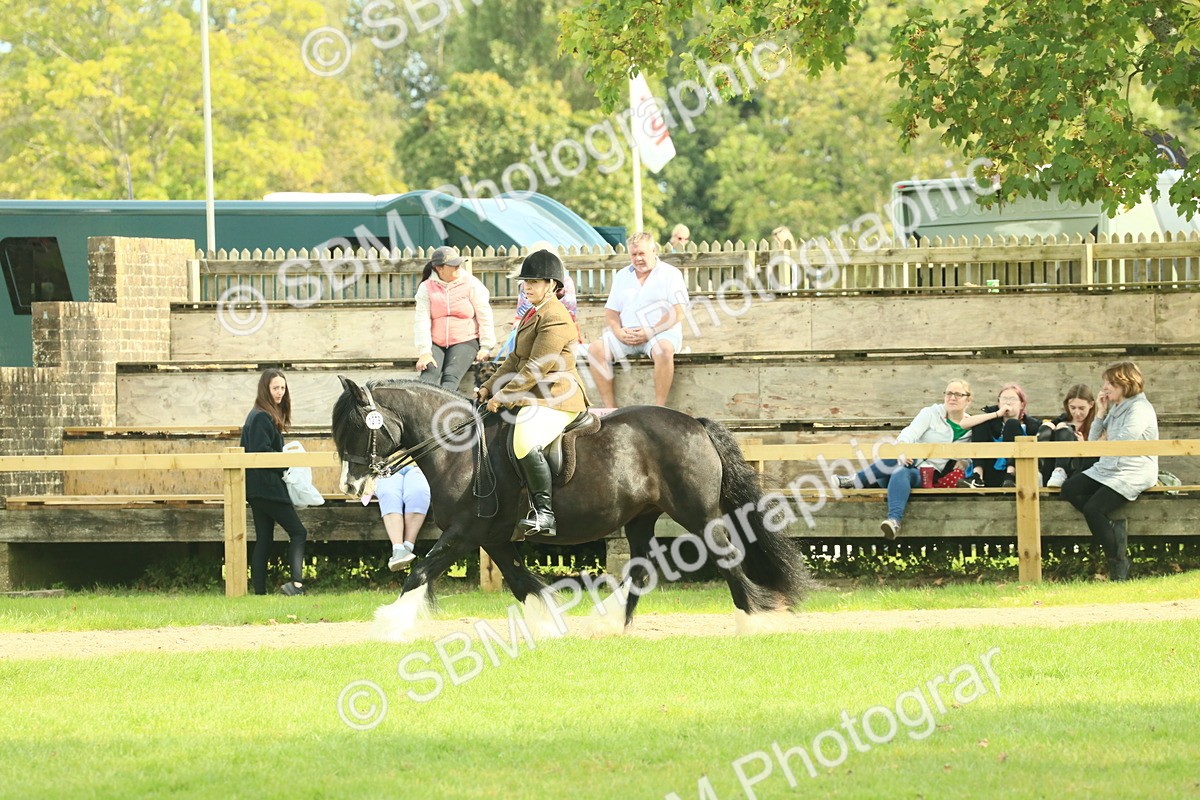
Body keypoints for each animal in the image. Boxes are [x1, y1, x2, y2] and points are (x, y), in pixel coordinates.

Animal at [331, 376, 813, 635]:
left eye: (357, 428)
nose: (351, 484)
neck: (460, 447)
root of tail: (694, 423)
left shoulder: (464, 533)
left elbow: (420, 570)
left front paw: (389, 623)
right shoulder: (494, 539)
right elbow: (523, 583)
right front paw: (549, 627)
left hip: (696, 513)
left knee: (726, 554)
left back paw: (749, 620)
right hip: (641, 518)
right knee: (641, 567)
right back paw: (614, 624)